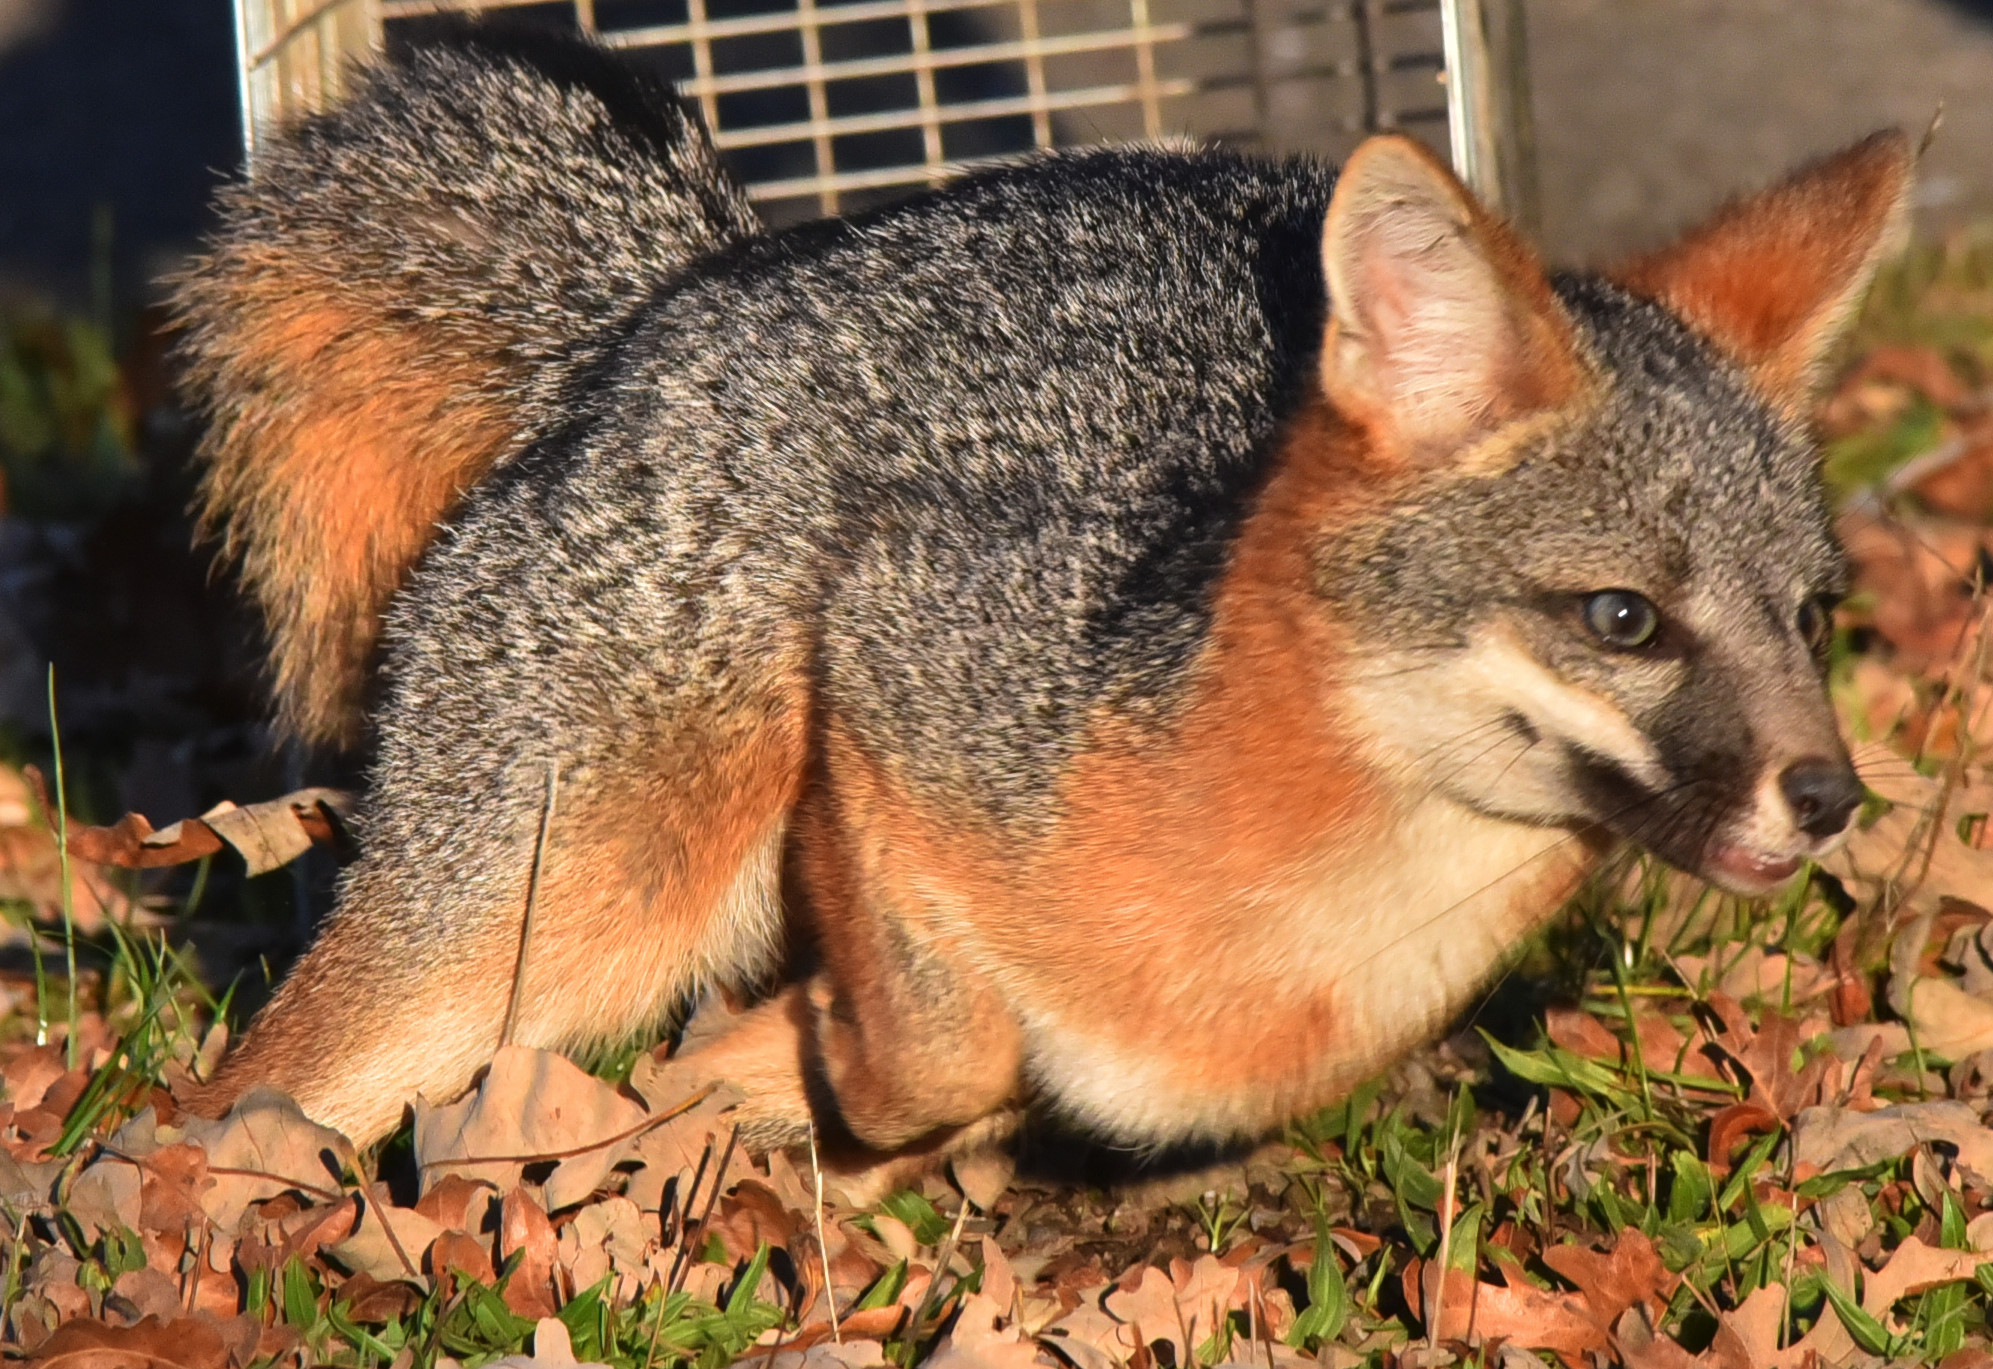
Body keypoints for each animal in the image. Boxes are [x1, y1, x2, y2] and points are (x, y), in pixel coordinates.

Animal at [174, 31, 1909, 1166]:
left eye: (1808, 617)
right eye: (1624, 619)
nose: (1831, 798)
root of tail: (677, 293)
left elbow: (948, 1075)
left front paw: (755, 1066)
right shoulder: (889, 647)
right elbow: (938, 1048)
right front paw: (836, 1049)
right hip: (542, 932)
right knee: (218, 1110)